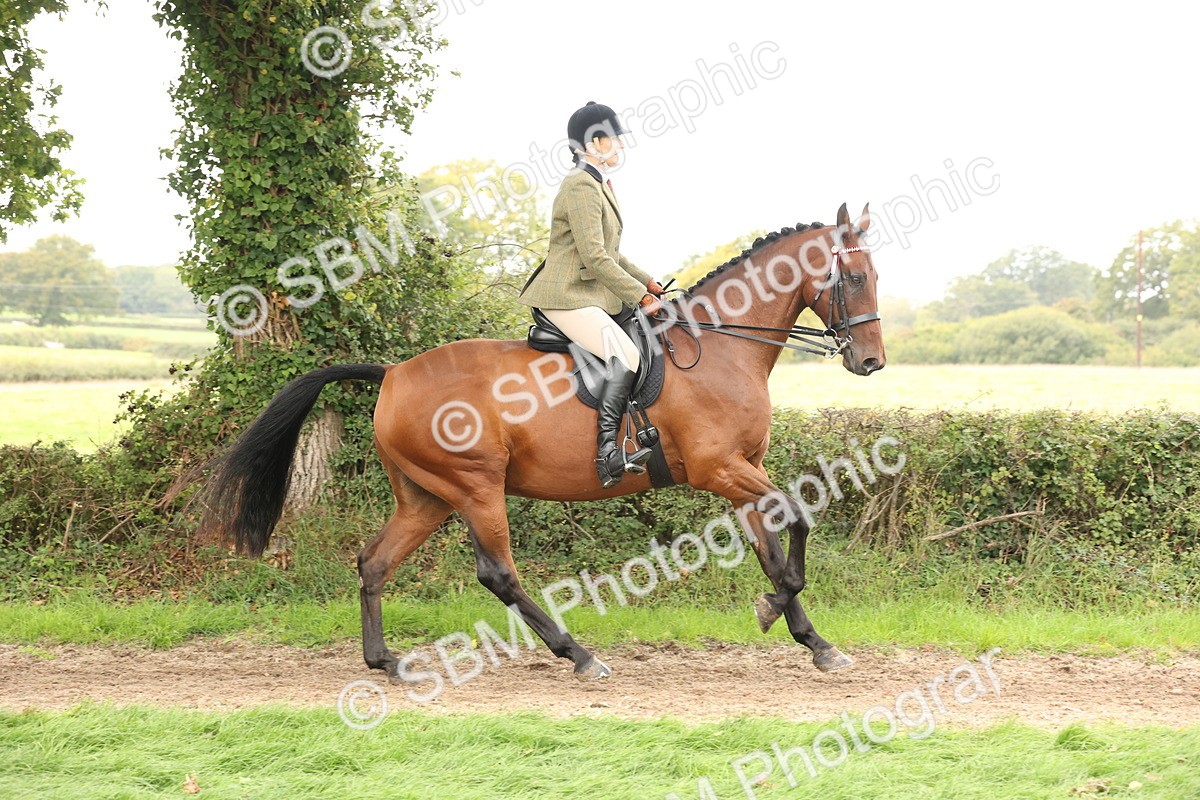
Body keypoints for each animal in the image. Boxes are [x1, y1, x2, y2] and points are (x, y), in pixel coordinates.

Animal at [198, 202, 886, 681]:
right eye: (853, 277)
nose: (872, 362)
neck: (718, 346)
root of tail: (392, 373)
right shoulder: (718, 467)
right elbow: (798, 518)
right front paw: (778, 608)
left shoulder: (743, 470)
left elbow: (773, 547)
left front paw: (811, 639)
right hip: (475, 487)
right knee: (498, 573)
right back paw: (577, 654)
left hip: (426, 496)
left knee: (375, 562)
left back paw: (386, 662)